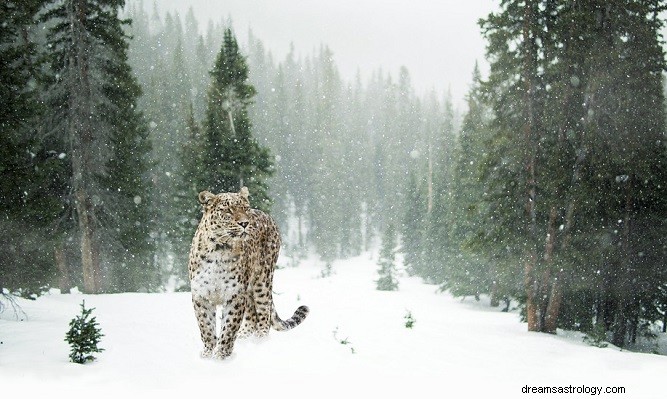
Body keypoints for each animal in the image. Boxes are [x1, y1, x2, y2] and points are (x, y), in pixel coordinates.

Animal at [187, 187, 310, 360]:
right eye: (228, 210)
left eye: (245, 208)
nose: (245, 223)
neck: (219, 249)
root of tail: (267, 215)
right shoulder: (201, 295)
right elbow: (206, 327)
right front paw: (207, 354)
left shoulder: (235, 295)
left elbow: (229, 328)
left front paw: (221, 356)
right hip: (250, 289)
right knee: (252, 316)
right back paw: (244, 338)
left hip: (263, 281)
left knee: (264, 314)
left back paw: (260, 342)